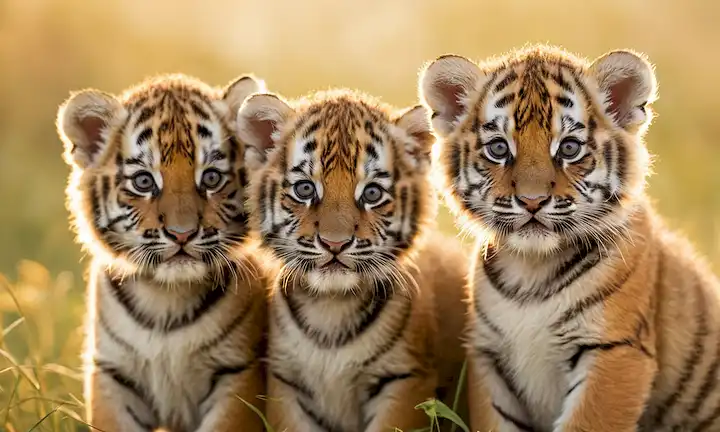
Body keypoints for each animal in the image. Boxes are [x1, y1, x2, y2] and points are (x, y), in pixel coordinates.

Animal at [56, 73, 271, 432]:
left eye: (211, 178)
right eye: (144, 182)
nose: (181, 233)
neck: (166, 297)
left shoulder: (236, 371)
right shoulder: (114, 373)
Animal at [238, 89, 469, 432]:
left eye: (372, 193)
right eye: (304, 189)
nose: (335, 243)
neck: (331, 307)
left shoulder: (403, 378)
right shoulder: (286, 382)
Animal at [419, 44, 720, 432]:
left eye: (569, 148)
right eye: (499, 149)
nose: (532, 200)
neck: (531, 270)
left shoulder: (614, 349)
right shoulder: (489, 355)